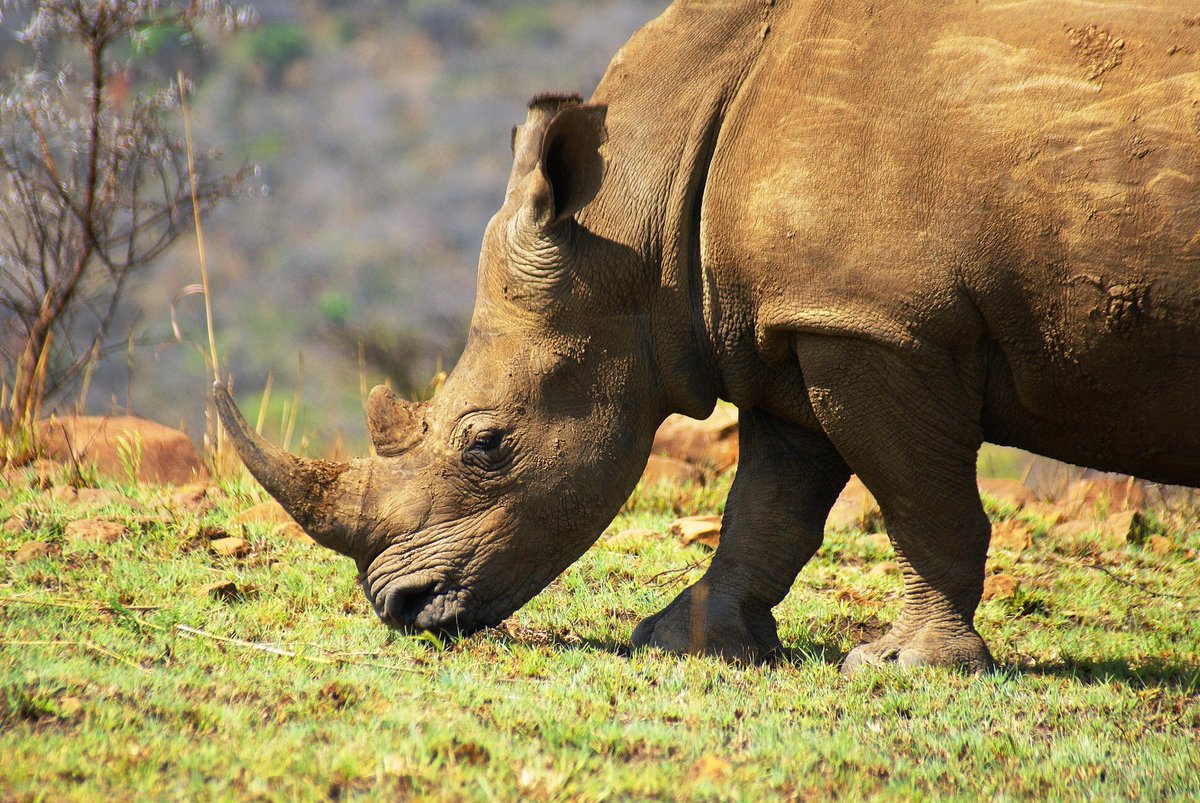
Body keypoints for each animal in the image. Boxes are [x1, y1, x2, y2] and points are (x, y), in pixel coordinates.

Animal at [214, 0, 1200, 672]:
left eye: (487, 444)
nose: (403, 607)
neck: (636, 212)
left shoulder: (880, 326)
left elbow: (919, 501)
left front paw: (903, 665)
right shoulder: (794, 326)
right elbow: (768, 507)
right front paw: (678, 641)